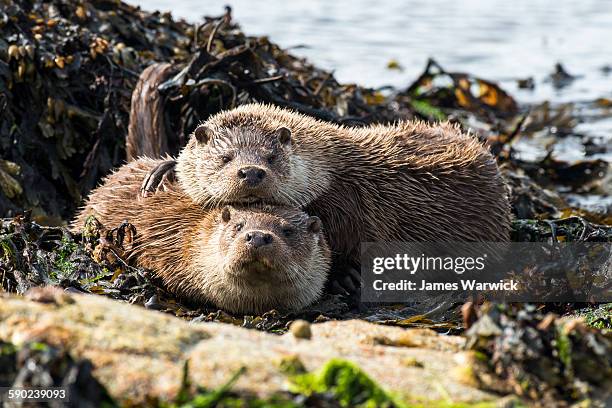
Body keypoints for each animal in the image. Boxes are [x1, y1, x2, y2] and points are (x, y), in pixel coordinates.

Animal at [141, 103, 510, 278]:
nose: (252, 172)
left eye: (271, 157)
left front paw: (348, 275)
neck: (333, 172)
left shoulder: (351, 206)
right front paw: (164, 169)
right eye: (226, 157)